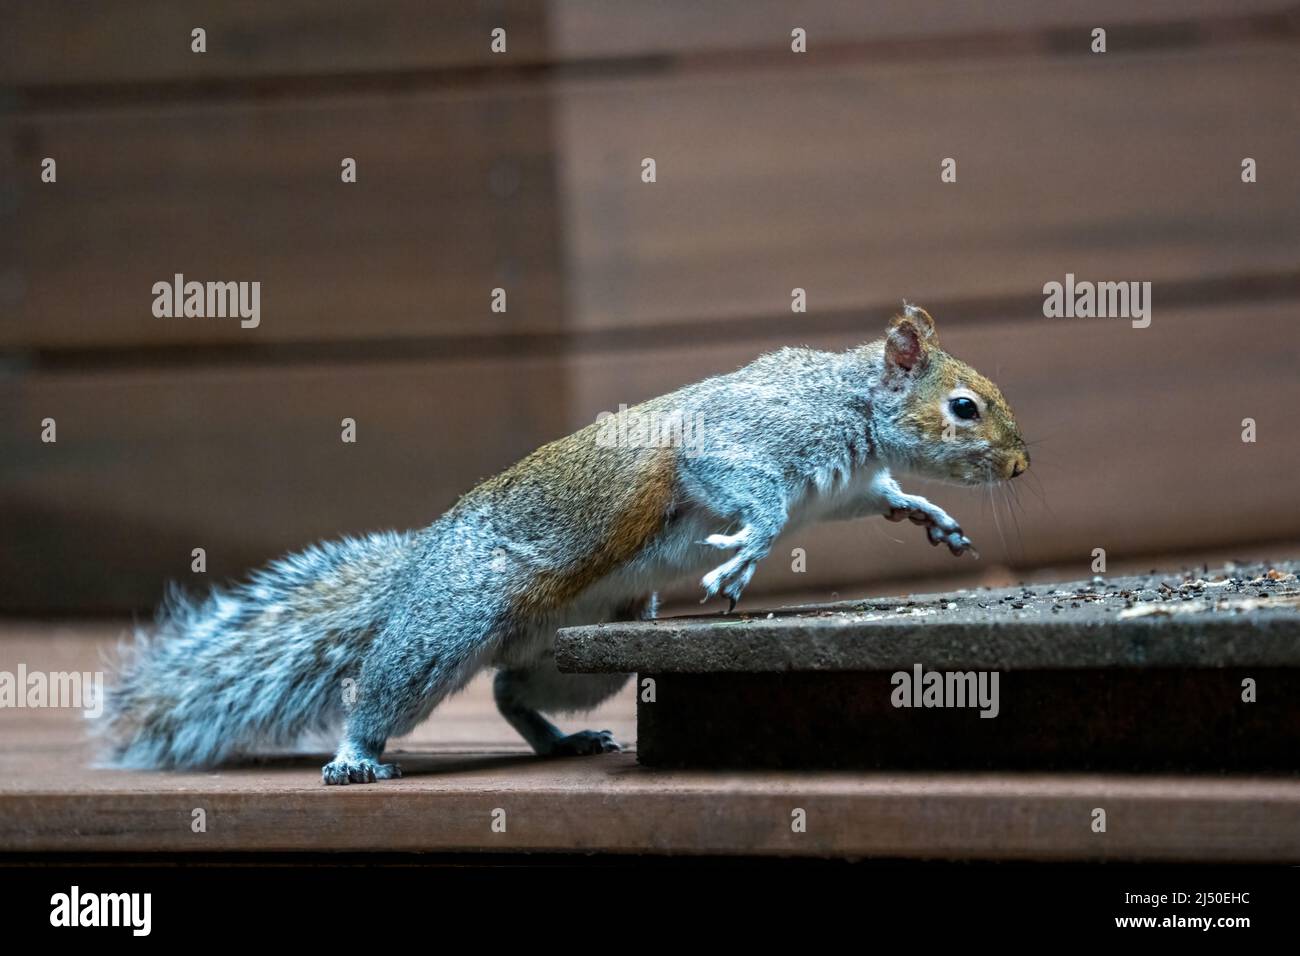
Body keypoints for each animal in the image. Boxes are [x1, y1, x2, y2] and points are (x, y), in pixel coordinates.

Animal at [101, 306, 1024, 785]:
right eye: (964, 406)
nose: (1021, 464)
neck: (850, 405)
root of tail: (418, 561)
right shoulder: (739, 441)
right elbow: (745, 495)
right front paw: (744, 555)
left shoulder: (844, 487)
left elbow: (882, 496)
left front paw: (928, 515)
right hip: (447, 625)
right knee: (390, 685)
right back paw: (359, 754)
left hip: (583, 652)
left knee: (513, 688)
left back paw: (561, 741)